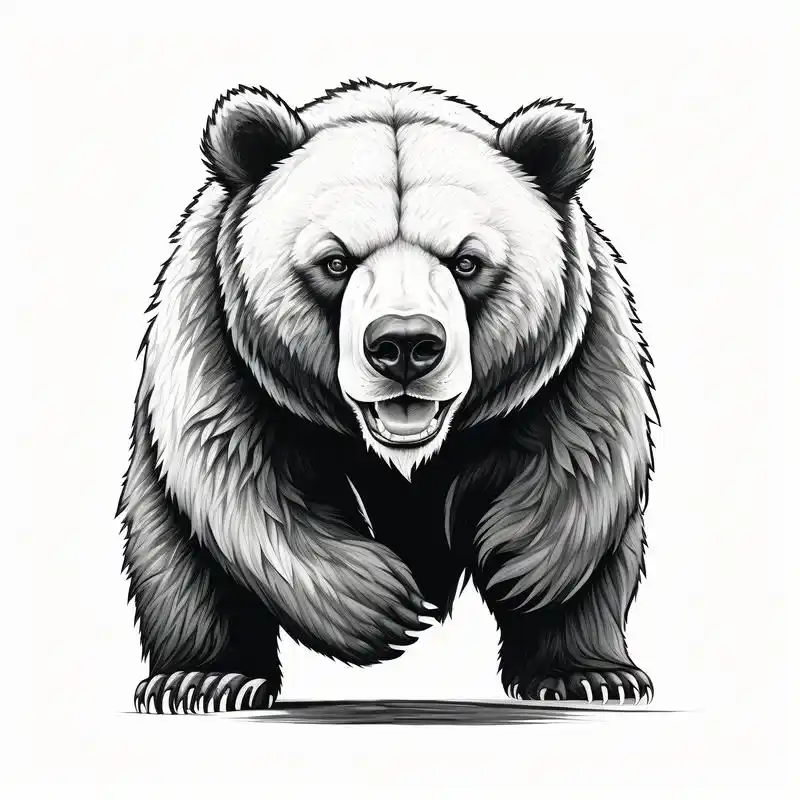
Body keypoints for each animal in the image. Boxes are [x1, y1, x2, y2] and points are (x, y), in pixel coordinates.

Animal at [118, 79, 657, 714]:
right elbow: (237, 477)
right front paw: (386, 604)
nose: (403, 345)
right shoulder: (218, 340)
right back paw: (204, 677)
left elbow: (582, 468)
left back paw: (593, 674)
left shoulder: (576, 345)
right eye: (335, 261)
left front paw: (520, 572)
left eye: (467, 261)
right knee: (179, 557)